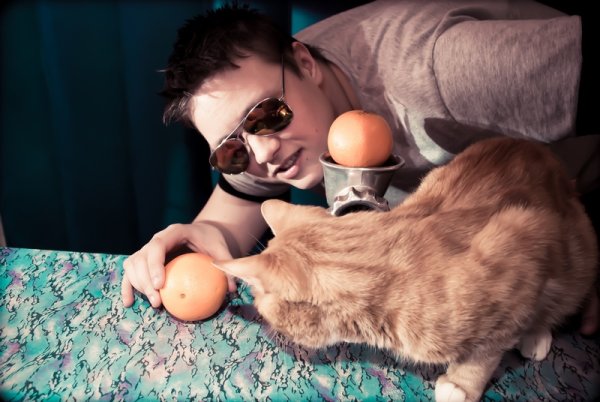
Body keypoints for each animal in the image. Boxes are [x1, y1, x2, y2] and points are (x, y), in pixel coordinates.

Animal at [214, 137, 598, 402]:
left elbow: (486, 350)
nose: (274, 337)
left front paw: (462, 384)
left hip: (578, 252)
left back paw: (538, 332)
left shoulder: (526, 238)